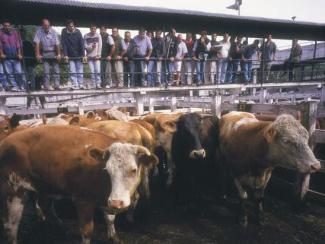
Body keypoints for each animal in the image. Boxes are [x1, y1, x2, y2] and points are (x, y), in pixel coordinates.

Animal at [0, 126, 158, 244]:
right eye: (107, 169)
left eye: (133, 170)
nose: (117, 202)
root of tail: (6, 140)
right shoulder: (83, 201)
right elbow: (87, 231)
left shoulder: (106, 200)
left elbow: (110, 219)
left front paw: (114, 237)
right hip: (12, 192)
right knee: (10, 226)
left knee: (44, 205)